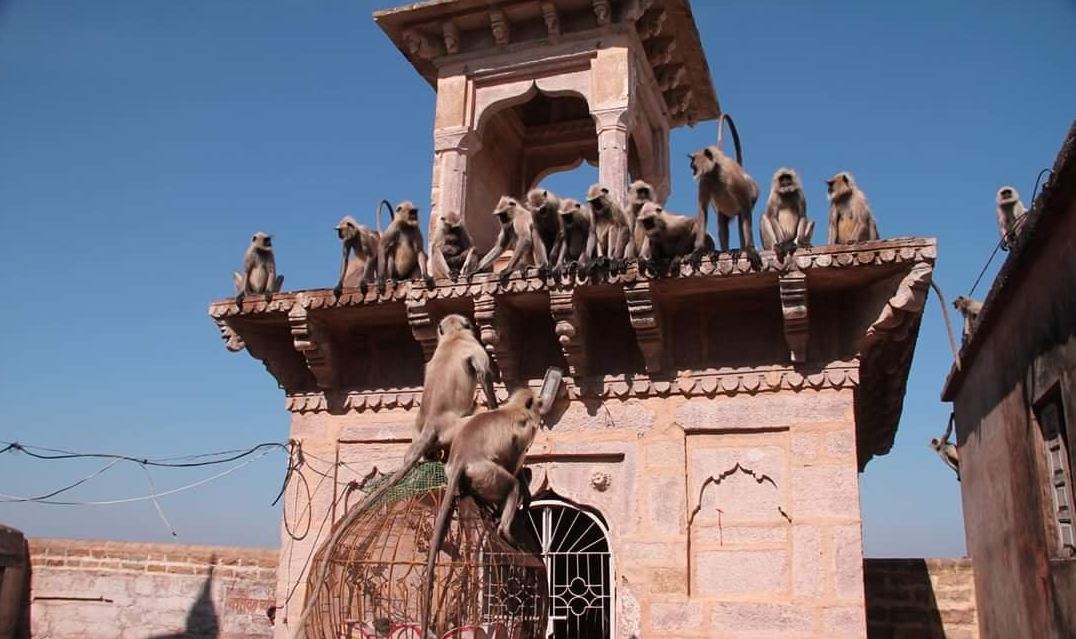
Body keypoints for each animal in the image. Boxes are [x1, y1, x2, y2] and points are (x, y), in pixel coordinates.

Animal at [417, 385, 542, 632]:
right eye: (538, 404)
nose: (543, 410)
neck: (513, 408)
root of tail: (461, 460)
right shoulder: (526, 428)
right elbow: (514, 465)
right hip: (485, 473)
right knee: (511, 485)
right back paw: (505, 530)